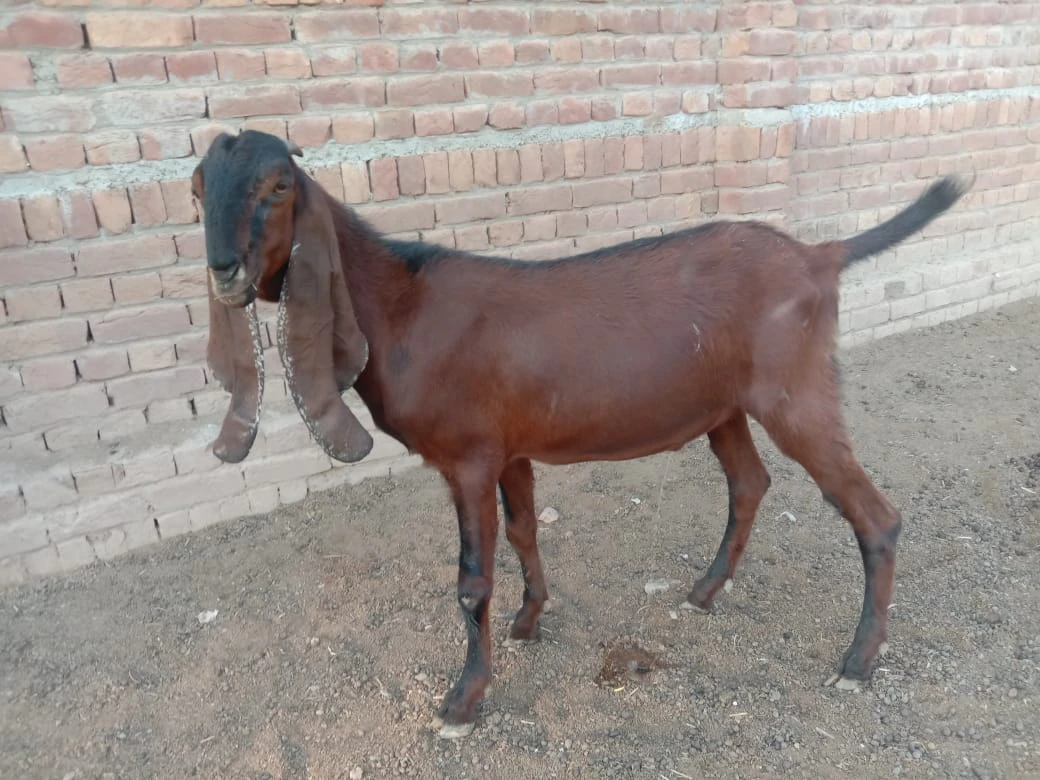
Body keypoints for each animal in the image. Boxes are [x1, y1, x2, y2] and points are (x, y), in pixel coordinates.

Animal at [193, 128, 965, 740]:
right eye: (198, 189)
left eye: (278, 186)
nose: (223, 270)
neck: (403, 305)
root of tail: (816, 257)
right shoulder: (508, 447)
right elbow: (524, 529)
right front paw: (529, 620)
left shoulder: (468, 456)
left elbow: (472, 579)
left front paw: (463, 701)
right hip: (723, 406)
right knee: (750, 482)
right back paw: (704, 591)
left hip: (796, 392)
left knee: (874, 515)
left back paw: (858, 662)